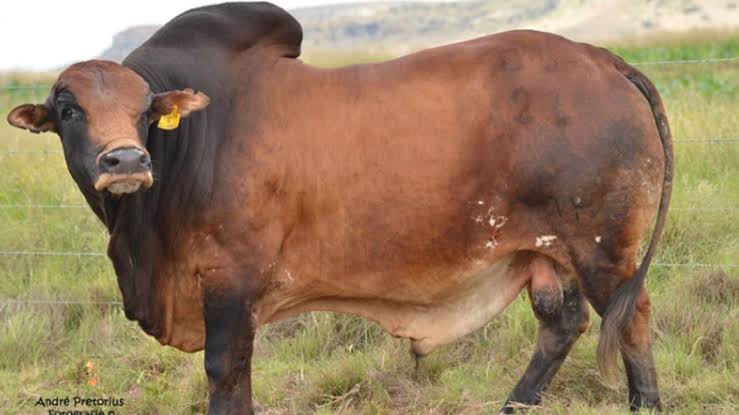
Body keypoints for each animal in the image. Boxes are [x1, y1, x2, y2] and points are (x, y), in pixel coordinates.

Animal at [7, 2, 672, 413]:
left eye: (145, 110)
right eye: (67, 109)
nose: (126, 161)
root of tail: (601, 57)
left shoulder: (229, 282)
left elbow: (226, 373)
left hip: (601, 246)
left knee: (631, 318)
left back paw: (645, 405)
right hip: (549, 253)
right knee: (563, 325)